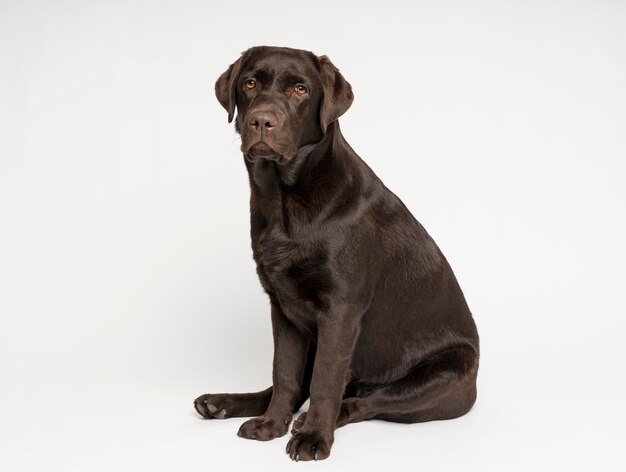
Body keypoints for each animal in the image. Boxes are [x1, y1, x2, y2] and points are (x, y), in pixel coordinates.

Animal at [195, 45, 478, 460]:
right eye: (249, 83)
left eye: (300, 89)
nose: (262, 121)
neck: (285, 199)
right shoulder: (282, 306)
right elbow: (284, 373)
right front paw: (270, 425)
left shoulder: (341, 309)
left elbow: (325, 381)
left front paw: (313, 438)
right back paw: (222, 403)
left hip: (449, 369)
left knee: (365, 400)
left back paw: (311, 421)